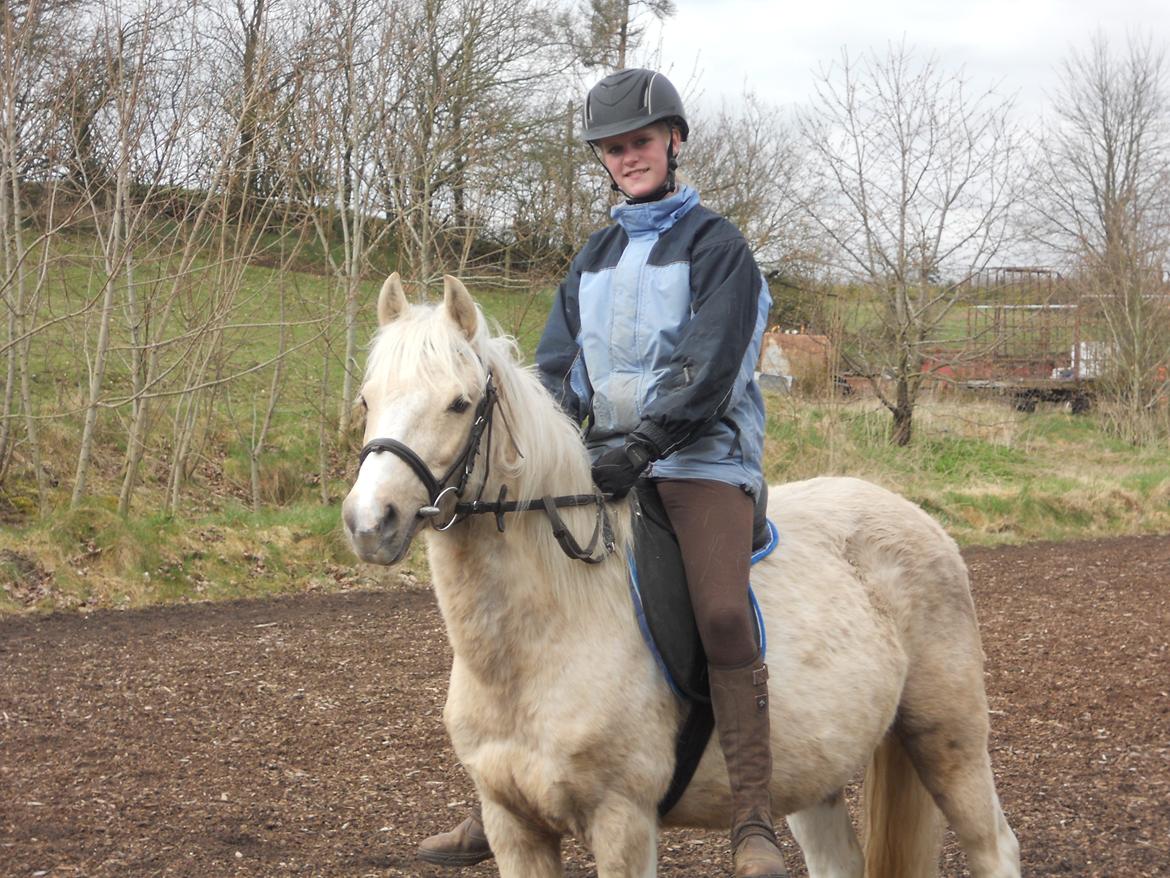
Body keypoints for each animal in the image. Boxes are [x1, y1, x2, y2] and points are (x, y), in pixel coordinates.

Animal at [341, 278, 1020, 878]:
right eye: (367, 399)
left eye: (459, 403)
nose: (370, 522)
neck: (540, 638)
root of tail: (918, 520)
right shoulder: (513, 827)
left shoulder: (622, 820)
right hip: (815, 770)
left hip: (948, 738)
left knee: (995, 848)